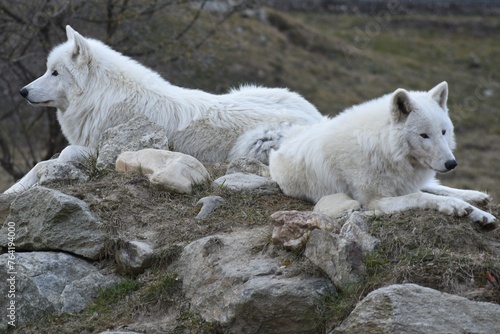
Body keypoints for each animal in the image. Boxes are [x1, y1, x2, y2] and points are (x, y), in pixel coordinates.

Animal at [4, 26, 324, 193]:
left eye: (55, 73)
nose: (22, 92)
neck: (102, 96)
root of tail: (319, 116)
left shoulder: (103, 148)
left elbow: (49, 160)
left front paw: (17, 189)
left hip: (255, 143)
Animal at [270, 81, 496, 224]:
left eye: (443, 132)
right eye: (424, 135)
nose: (452, 164)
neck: (383, 148)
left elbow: (427, 192)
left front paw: (481, 214)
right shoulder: (374, 202)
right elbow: (420, 197)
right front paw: (454, 206)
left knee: (434, 186)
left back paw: (475, 195)